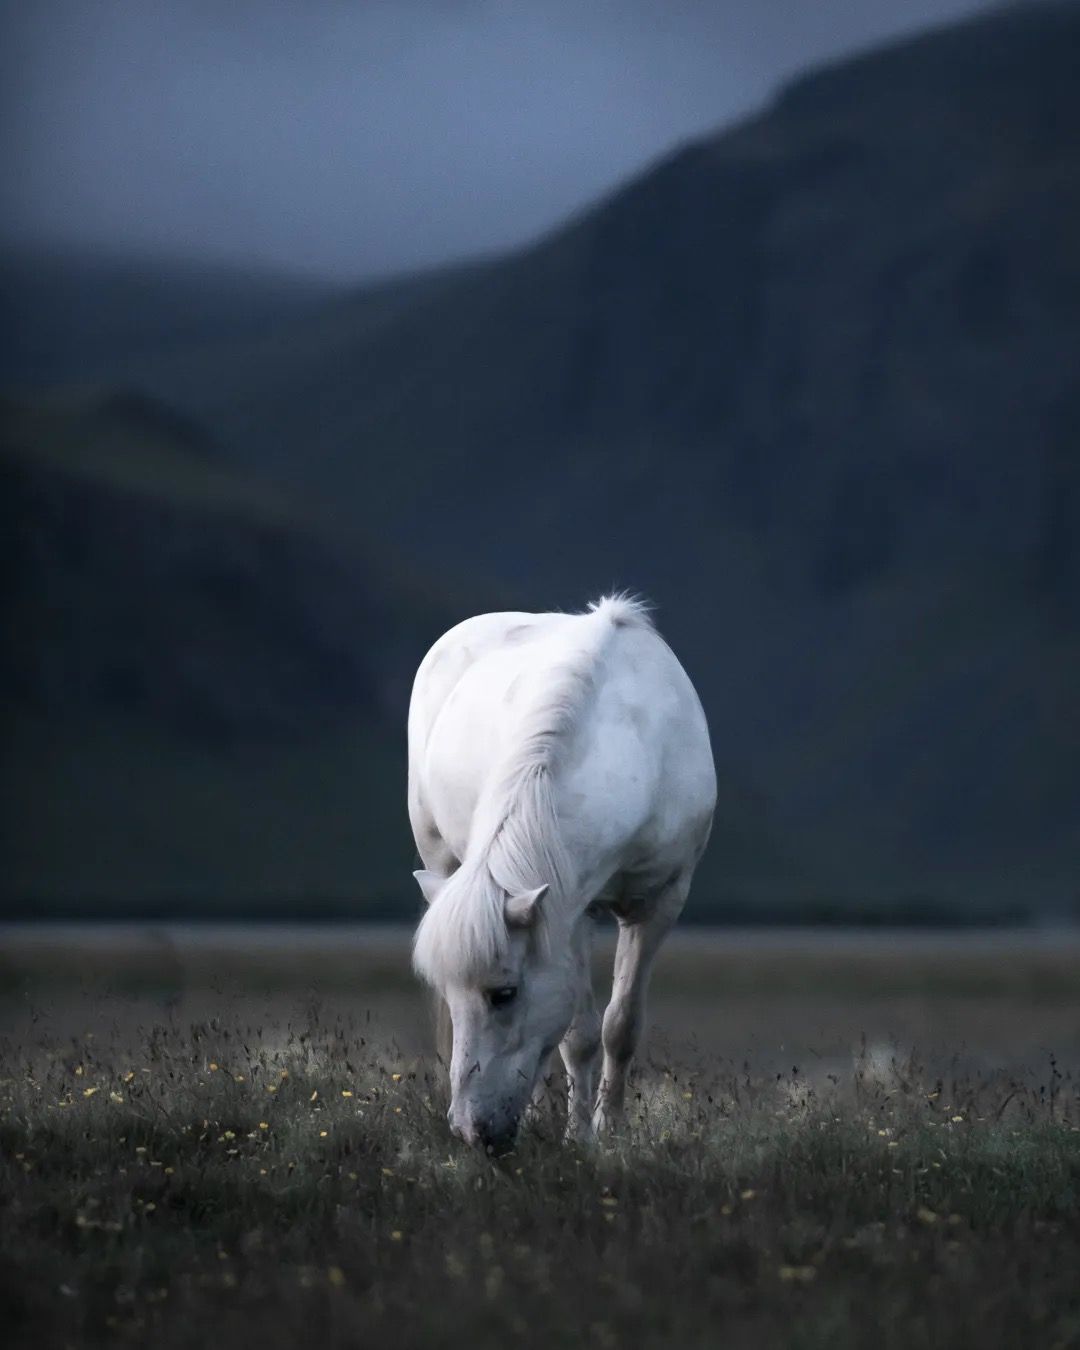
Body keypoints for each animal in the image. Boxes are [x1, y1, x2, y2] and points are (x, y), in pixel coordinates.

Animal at [408, 594, 716, 1152]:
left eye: (503, 994)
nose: (468, 1130)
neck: (632, 747)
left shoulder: (659, 902)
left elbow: (620, 1025)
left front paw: (607, 1131)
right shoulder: (570, 913)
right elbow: (580, 1036)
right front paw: (579, 1137)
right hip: (439, 858)